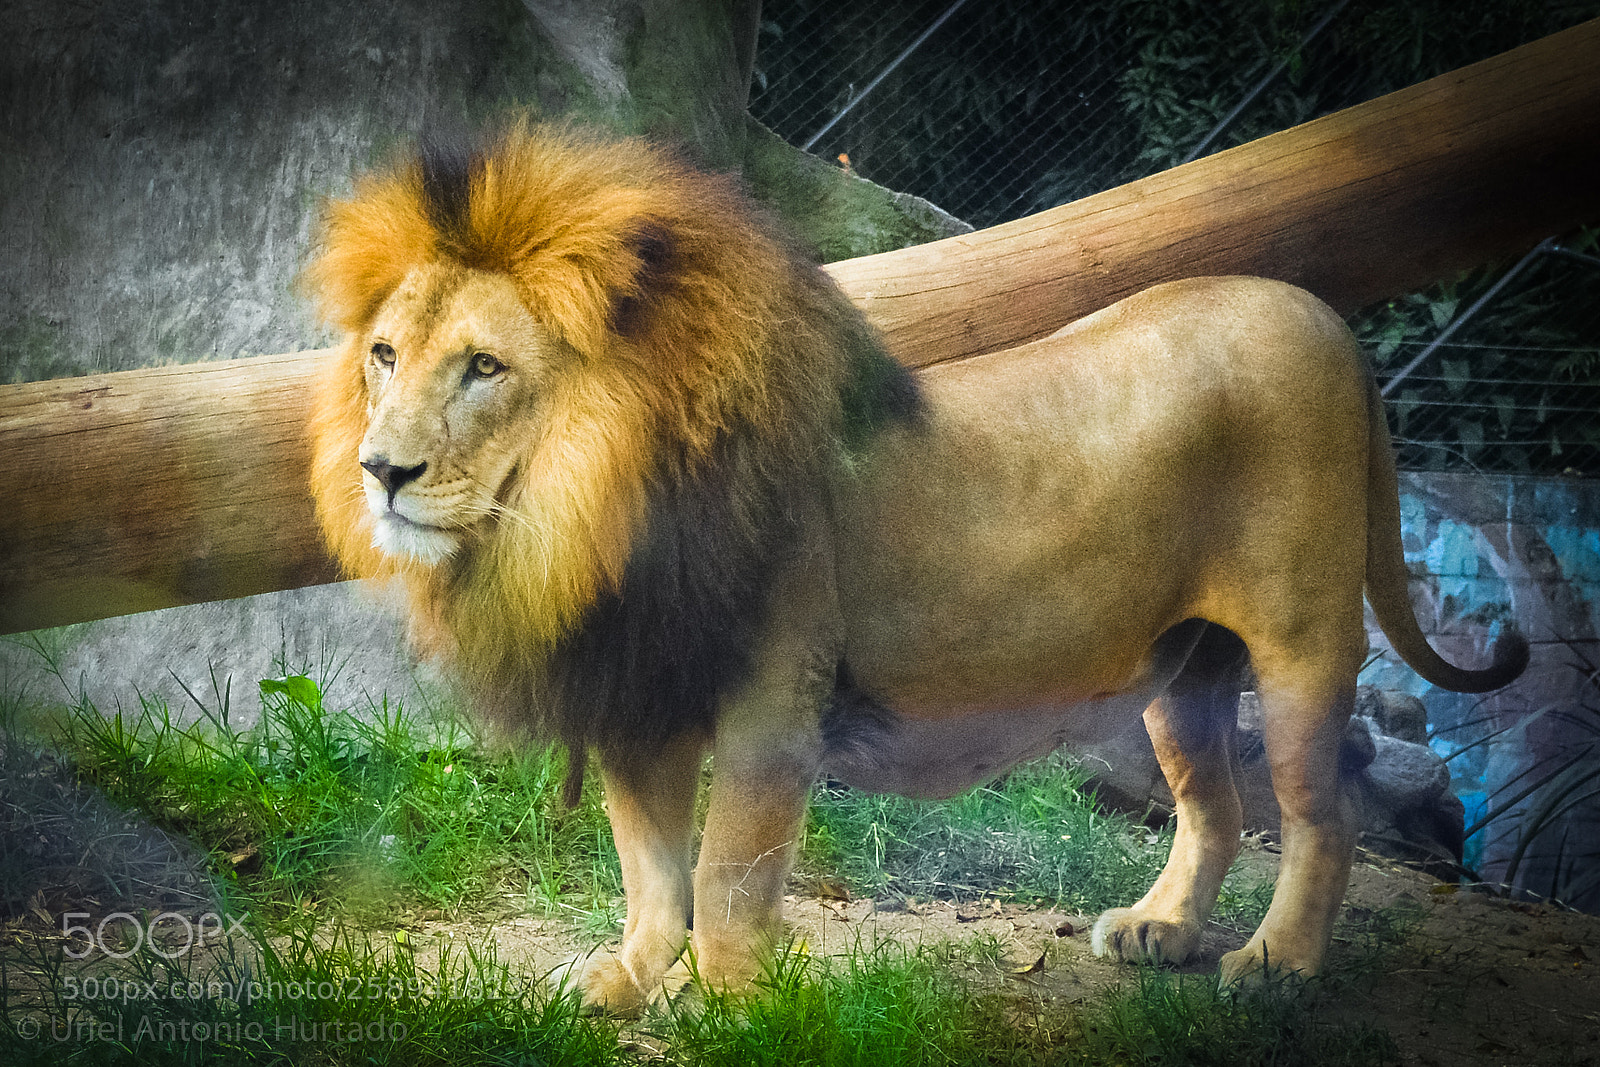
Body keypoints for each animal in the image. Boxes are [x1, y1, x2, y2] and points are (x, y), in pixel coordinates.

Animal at [305, 122, 1526, 1013]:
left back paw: (1276, 964)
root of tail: (1324, 317)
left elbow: (726, 870)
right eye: (385, 355)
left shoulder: (773, 702)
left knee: (1323, 815)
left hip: (1301, 635)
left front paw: (737, 1002)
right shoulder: (641, 692)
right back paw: (1163, 930)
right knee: (1213, 801)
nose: (381, 470)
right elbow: (648, 864)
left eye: (484, 367)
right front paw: (626, 978)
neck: (579, 512)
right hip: (1186, 664)